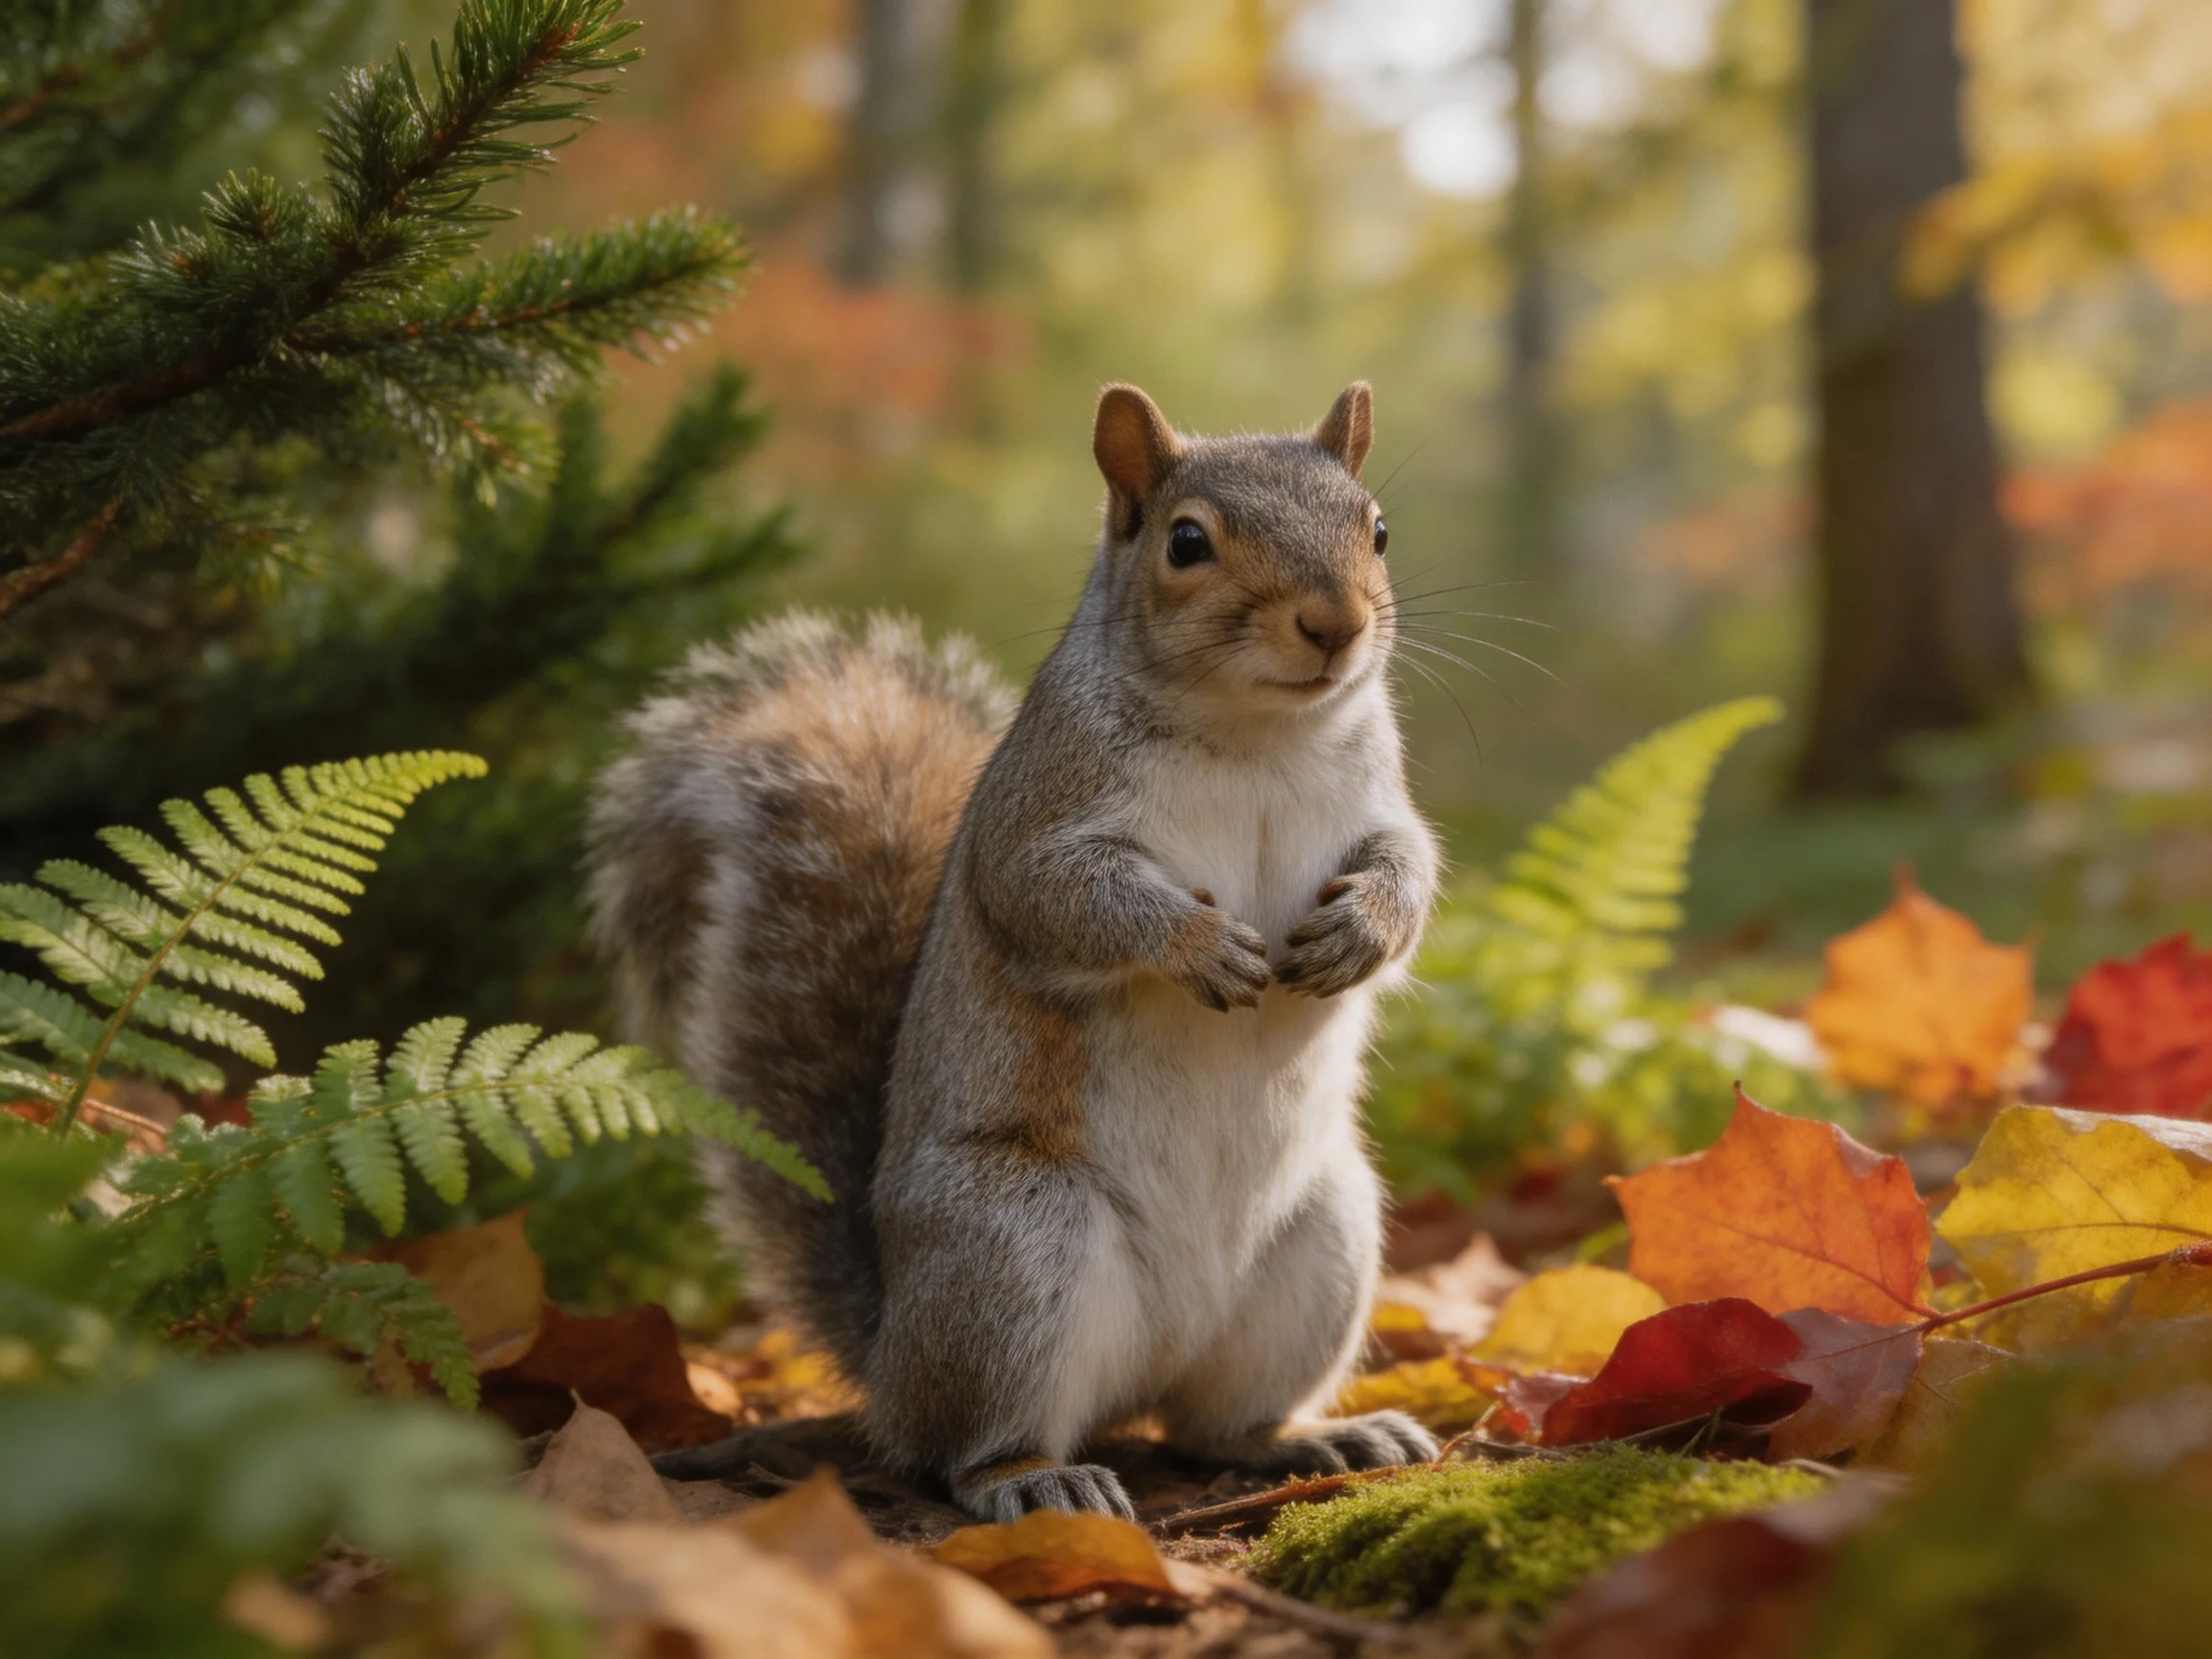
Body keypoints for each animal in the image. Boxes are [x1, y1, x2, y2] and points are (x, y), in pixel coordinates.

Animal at [588, 381, 1441, 1522]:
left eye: (1377, 529)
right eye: (1186, 542)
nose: (1335, 624)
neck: (1257, 734)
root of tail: (891, 1354)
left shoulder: (1379, 804)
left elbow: (1410, 866)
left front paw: (1362, 930)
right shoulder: (1036, 819)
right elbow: (1059, 900)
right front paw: (1199, 946)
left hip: (1324, 1243)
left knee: (1214, 1425)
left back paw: (1315, 1436)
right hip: (1013, 1250)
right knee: (963, 1446)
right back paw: (1035, 1479)